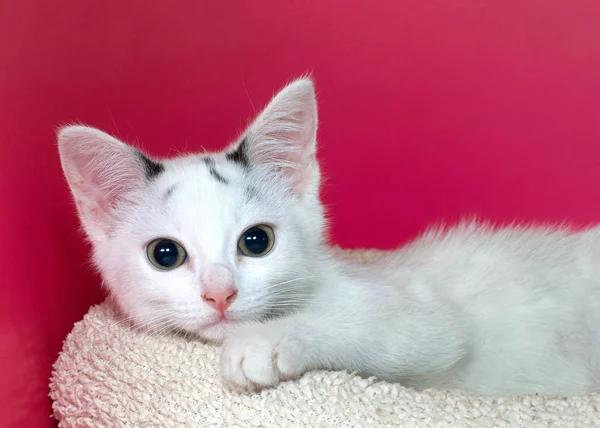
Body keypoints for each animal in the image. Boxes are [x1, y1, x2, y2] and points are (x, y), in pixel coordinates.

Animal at [58, 77, 600, 394]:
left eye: (256, 242)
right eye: (165, 254)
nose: (220, 294)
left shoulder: (428, 323)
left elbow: (380, 328)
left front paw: (263, 342)